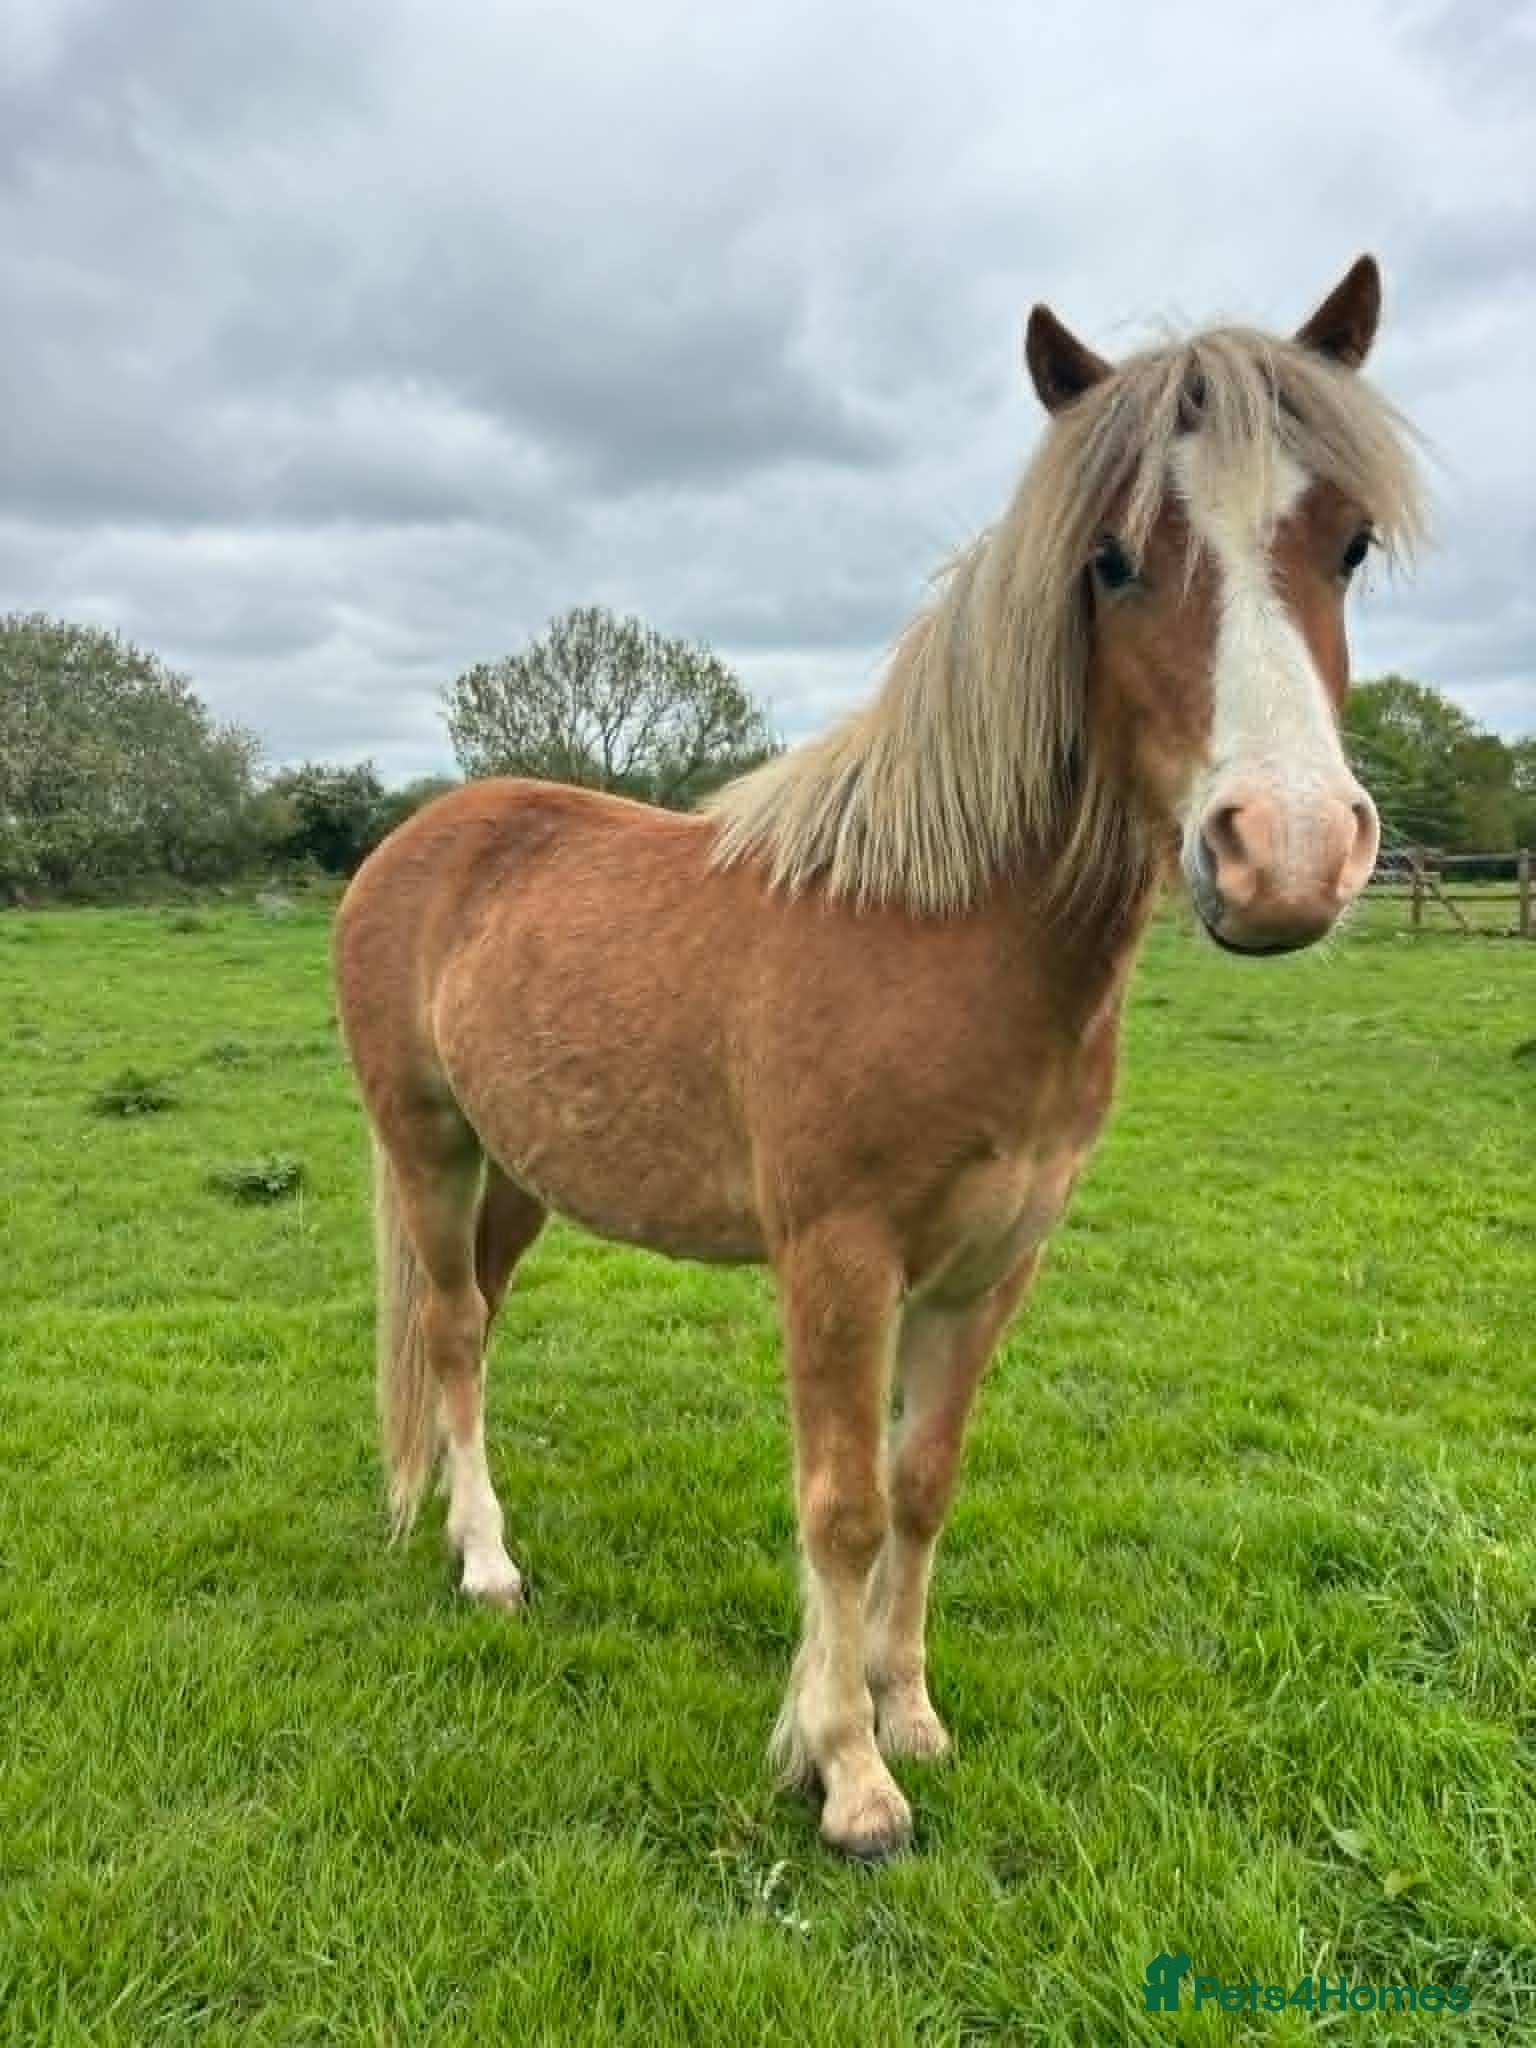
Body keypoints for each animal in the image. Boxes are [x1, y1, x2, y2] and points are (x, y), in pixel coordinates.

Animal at [333, 256, 1423, 1859]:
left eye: (1344, 545)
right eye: (1110, 562)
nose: (1282, 855)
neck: (941, 931)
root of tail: (422, 837)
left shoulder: (987, 1269)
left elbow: (920, 1485)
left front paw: (907, 1713)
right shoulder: (839, 1259)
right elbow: (838, 1503)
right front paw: (846, 1774)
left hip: (520, 1170)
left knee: (476, 1316)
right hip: (425, 1143)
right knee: (455, 1330)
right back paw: (487, 1566)